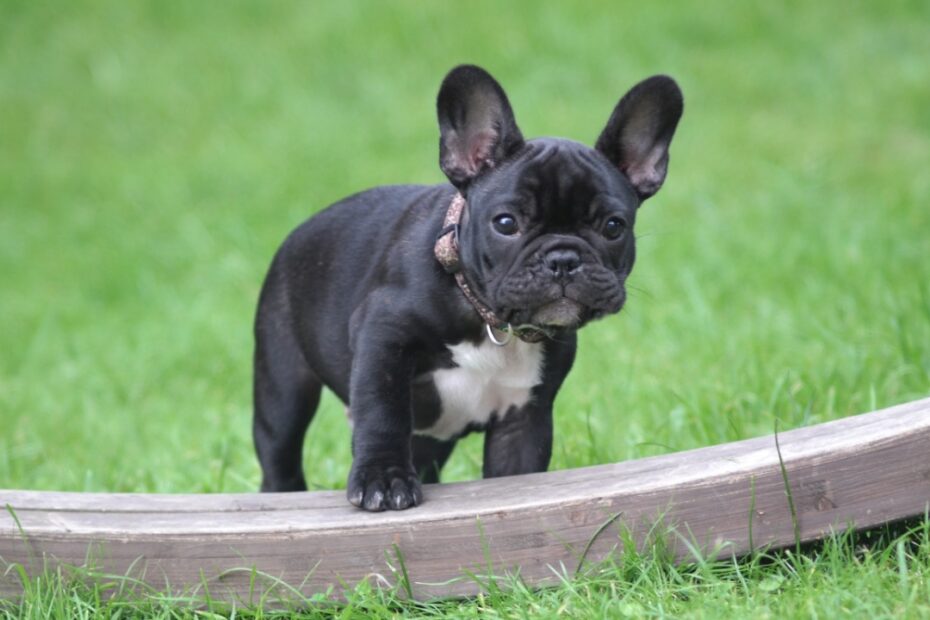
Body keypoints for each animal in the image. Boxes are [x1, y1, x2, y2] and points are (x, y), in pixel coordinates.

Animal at [254, 63, 680, 512]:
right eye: (506, 223)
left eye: (613, 227)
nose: (563, 259)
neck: (486, 316)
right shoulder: (381, 337)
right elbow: (382, 411)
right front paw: (383, 479)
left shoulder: (523, 417)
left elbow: (519, 473)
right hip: (283, 385)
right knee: (280, 451)